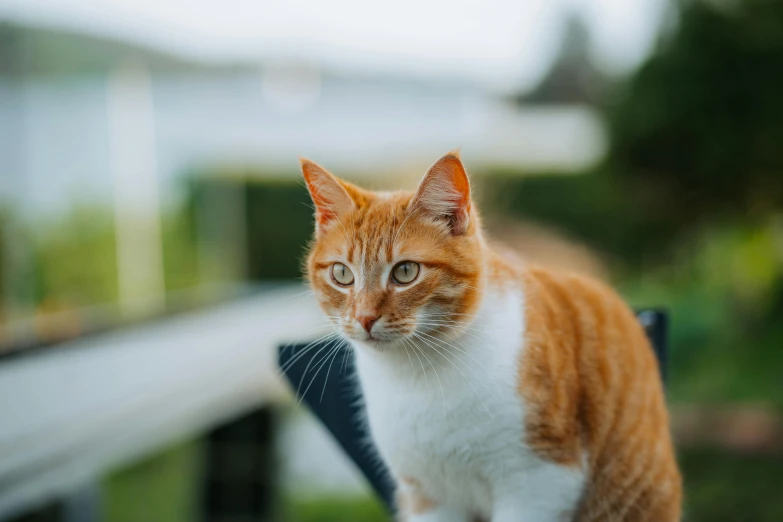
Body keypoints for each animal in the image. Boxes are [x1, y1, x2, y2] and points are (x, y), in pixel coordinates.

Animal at [304, 151, 684, 520]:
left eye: (406, 272)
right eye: (342, 274)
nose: (364, 318)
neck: (416, 375)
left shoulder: (540, 481)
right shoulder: (426, 496)